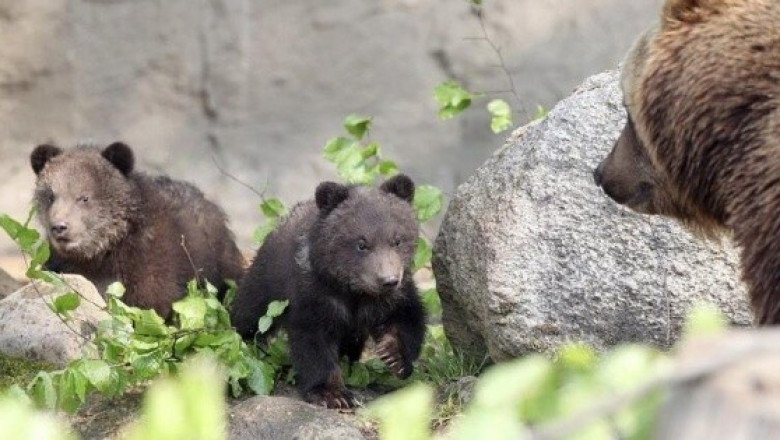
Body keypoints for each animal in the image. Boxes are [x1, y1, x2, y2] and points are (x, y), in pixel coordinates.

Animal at [230, 174, 427, 409]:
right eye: (361, 244)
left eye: (397, 240)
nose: (388, 280)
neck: (355, 293)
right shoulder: (315, 294)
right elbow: (314, 341)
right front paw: (332, 394)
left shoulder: (396, 295)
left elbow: (408, 317)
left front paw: (394, 356)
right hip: (267, 281)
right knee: (250, 313)